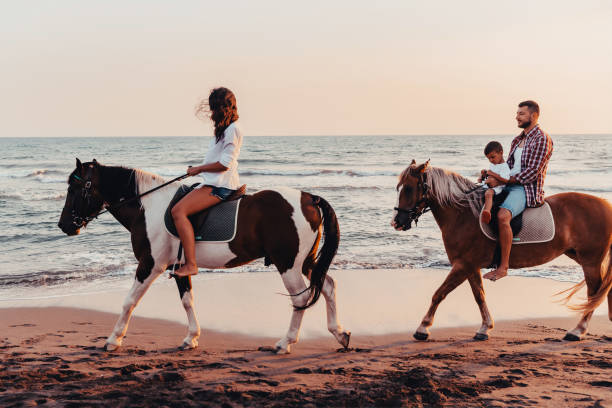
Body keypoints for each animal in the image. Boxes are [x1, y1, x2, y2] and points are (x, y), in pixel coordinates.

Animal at [61, 159, 354, 354]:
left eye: (74, 189)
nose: (64, 225)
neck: (149, 206)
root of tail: (309, 198)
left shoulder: (150, 265)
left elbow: (129, 302)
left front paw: (113, 340)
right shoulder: (178, 265)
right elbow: (187, 300)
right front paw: (191, 338)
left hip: (289, 264)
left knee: (301, 299)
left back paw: (285, 343)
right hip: (305, 262)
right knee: (328, 286)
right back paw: (340, 334)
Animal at [392, 159, 612, 342]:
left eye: (409, 188)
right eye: (399, 187)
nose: (397, 222)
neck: (463, 215)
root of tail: (606, 205)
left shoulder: (463, 265)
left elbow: (439, 294)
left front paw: (422, 328)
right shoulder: (471, 267)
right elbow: (479, 296)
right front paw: (485, 328)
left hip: (590, 261)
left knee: (594, 292)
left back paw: (577, 331)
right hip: (579, 256)